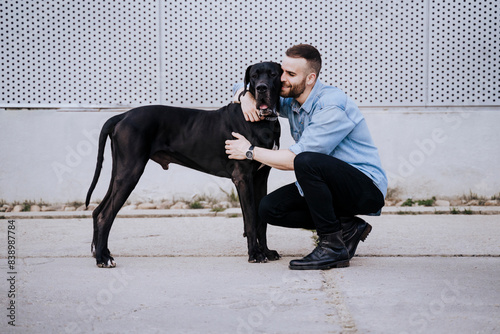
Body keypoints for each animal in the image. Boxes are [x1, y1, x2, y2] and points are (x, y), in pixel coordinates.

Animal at [84, 61, 284, 268]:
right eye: (254, 76)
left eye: (273, 74)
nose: (261, 88)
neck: (263, 121)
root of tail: (122, 115)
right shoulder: (243, 178)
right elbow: (251, 219)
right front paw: (255, 254)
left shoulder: (260, 178)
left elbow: (260, 221)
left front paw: (266, 251)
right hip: (130, 172)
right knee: (104, 214)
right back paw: (103, 258)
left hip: (120, 171)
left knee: (98, 210)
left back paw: (102, 252)